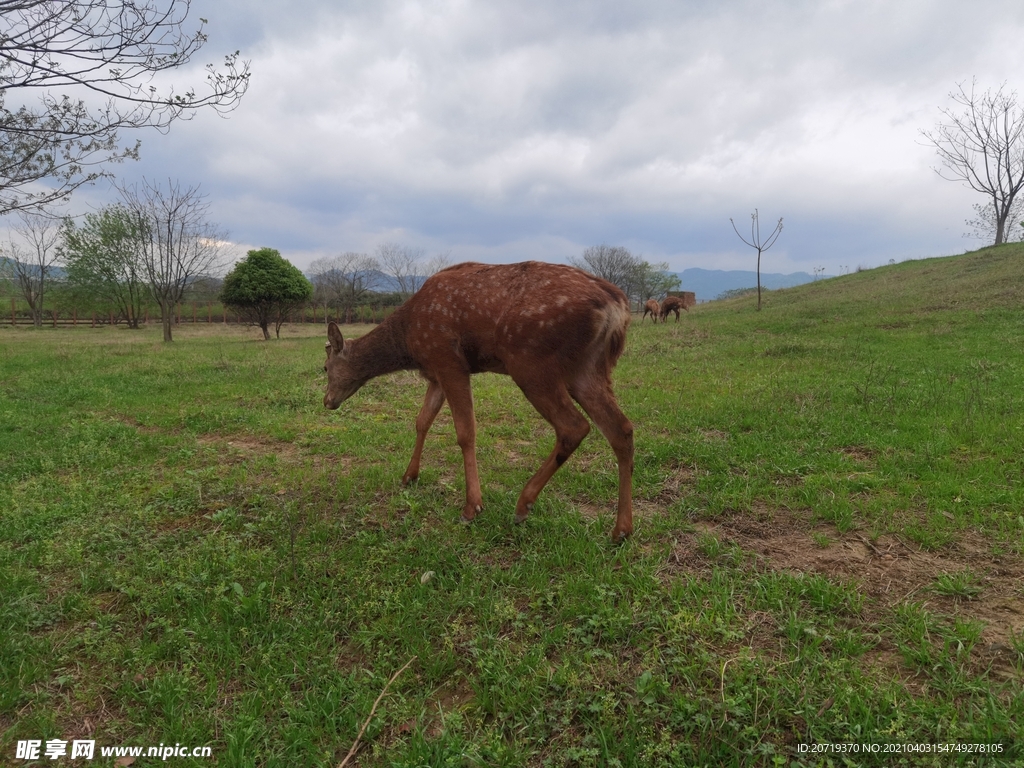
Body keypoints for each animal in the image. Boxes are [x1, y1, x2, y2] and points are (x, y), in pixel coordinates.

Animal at [323, 262, 634, 544]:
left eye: (324, 368)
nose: (327, 401)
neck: (409, 342)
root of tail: (618, 306)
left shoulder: (449, 361)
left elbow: (465, 432)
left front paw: (472, 507)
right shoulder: (436, 374)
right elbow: (422, 420)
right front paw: (409, 476)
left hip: (531, 363)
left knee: (574, 426)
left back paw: (523, 505)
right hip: (588, 368)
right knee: (621, 428)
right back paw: (621, 530)